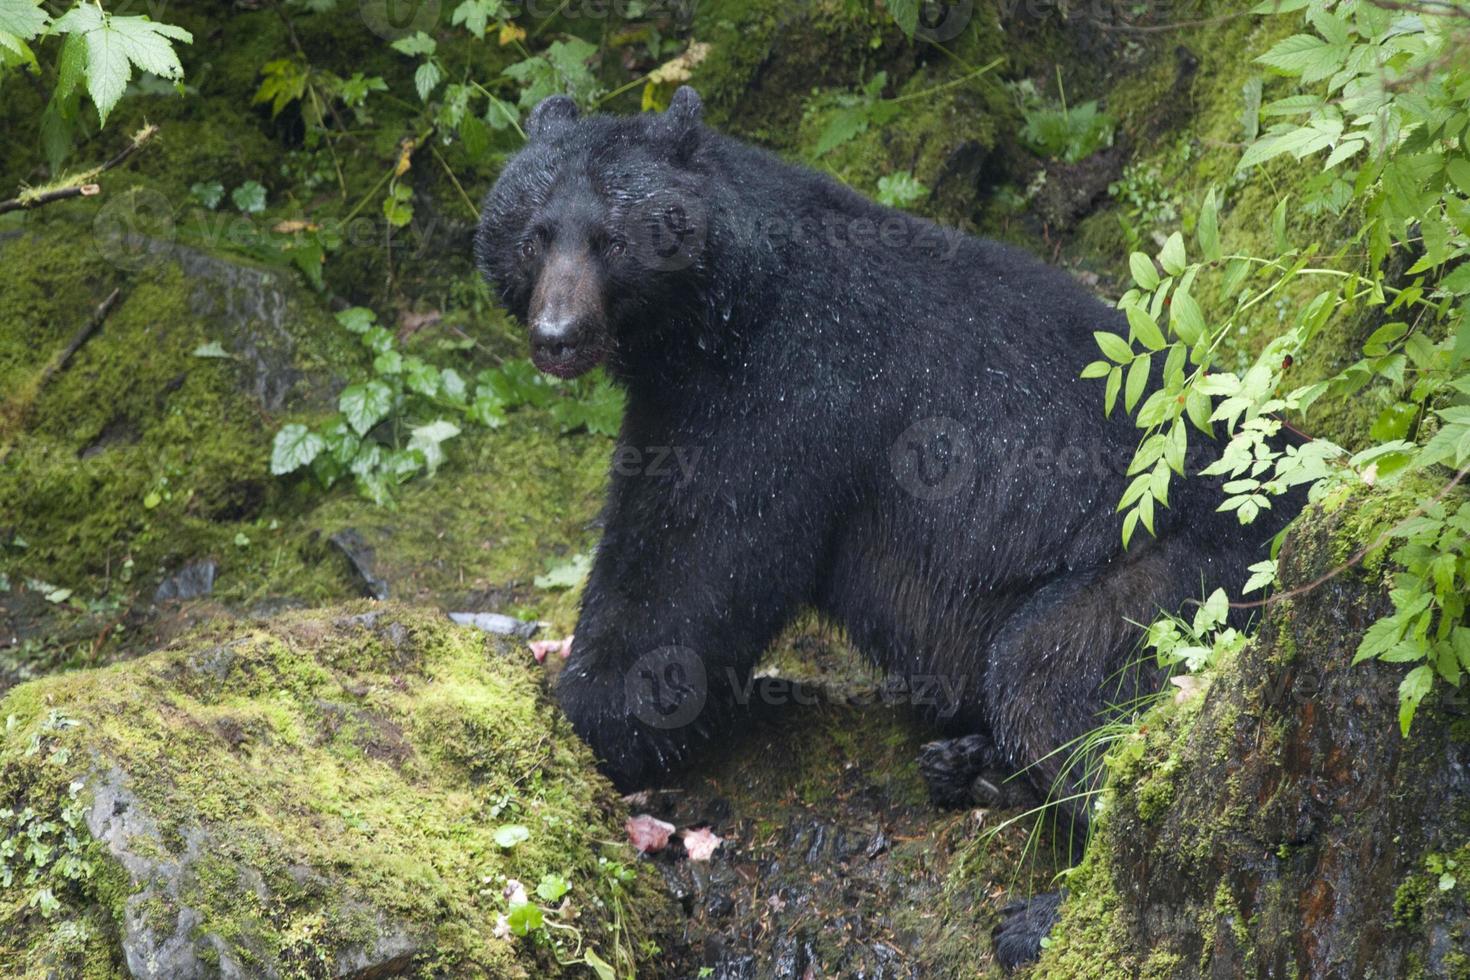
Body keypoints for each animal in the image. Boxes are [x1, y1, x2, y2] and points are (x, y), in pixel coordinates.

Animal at [476, 86, 1293, 963]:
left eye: (612, 239)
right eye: (532, 233)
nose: (558, 336)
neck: (720, 309)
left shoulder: (778, 395)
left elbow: (688, 574)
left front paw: (578, 712)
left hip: (1175, 576)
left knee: (1061, 685)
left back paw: (1045, 913)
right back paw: (968, 764)